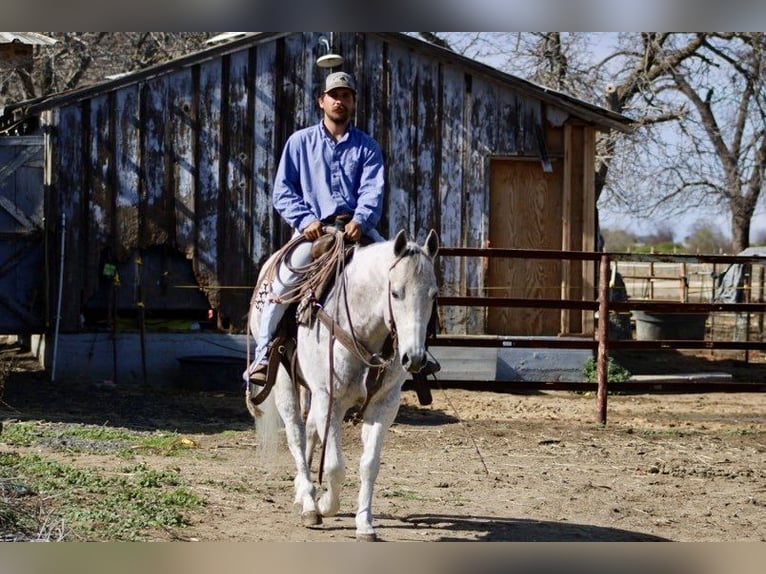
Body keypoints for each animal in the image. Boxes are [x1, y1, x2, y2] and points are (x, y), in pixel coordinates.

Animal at [244, 228, 439, 541]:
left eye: (433, 294)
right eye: (395, 292)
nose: (415, 357)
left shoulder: (384, 405)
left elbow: (369, 465)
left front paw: (364, 523)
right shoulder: (331, 400)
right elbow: (335, 465)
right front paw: (325, 505)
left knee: (310, 430)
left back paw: (303, 492)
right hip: (284, 381)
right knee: (296, 433)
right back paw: (309, 503)